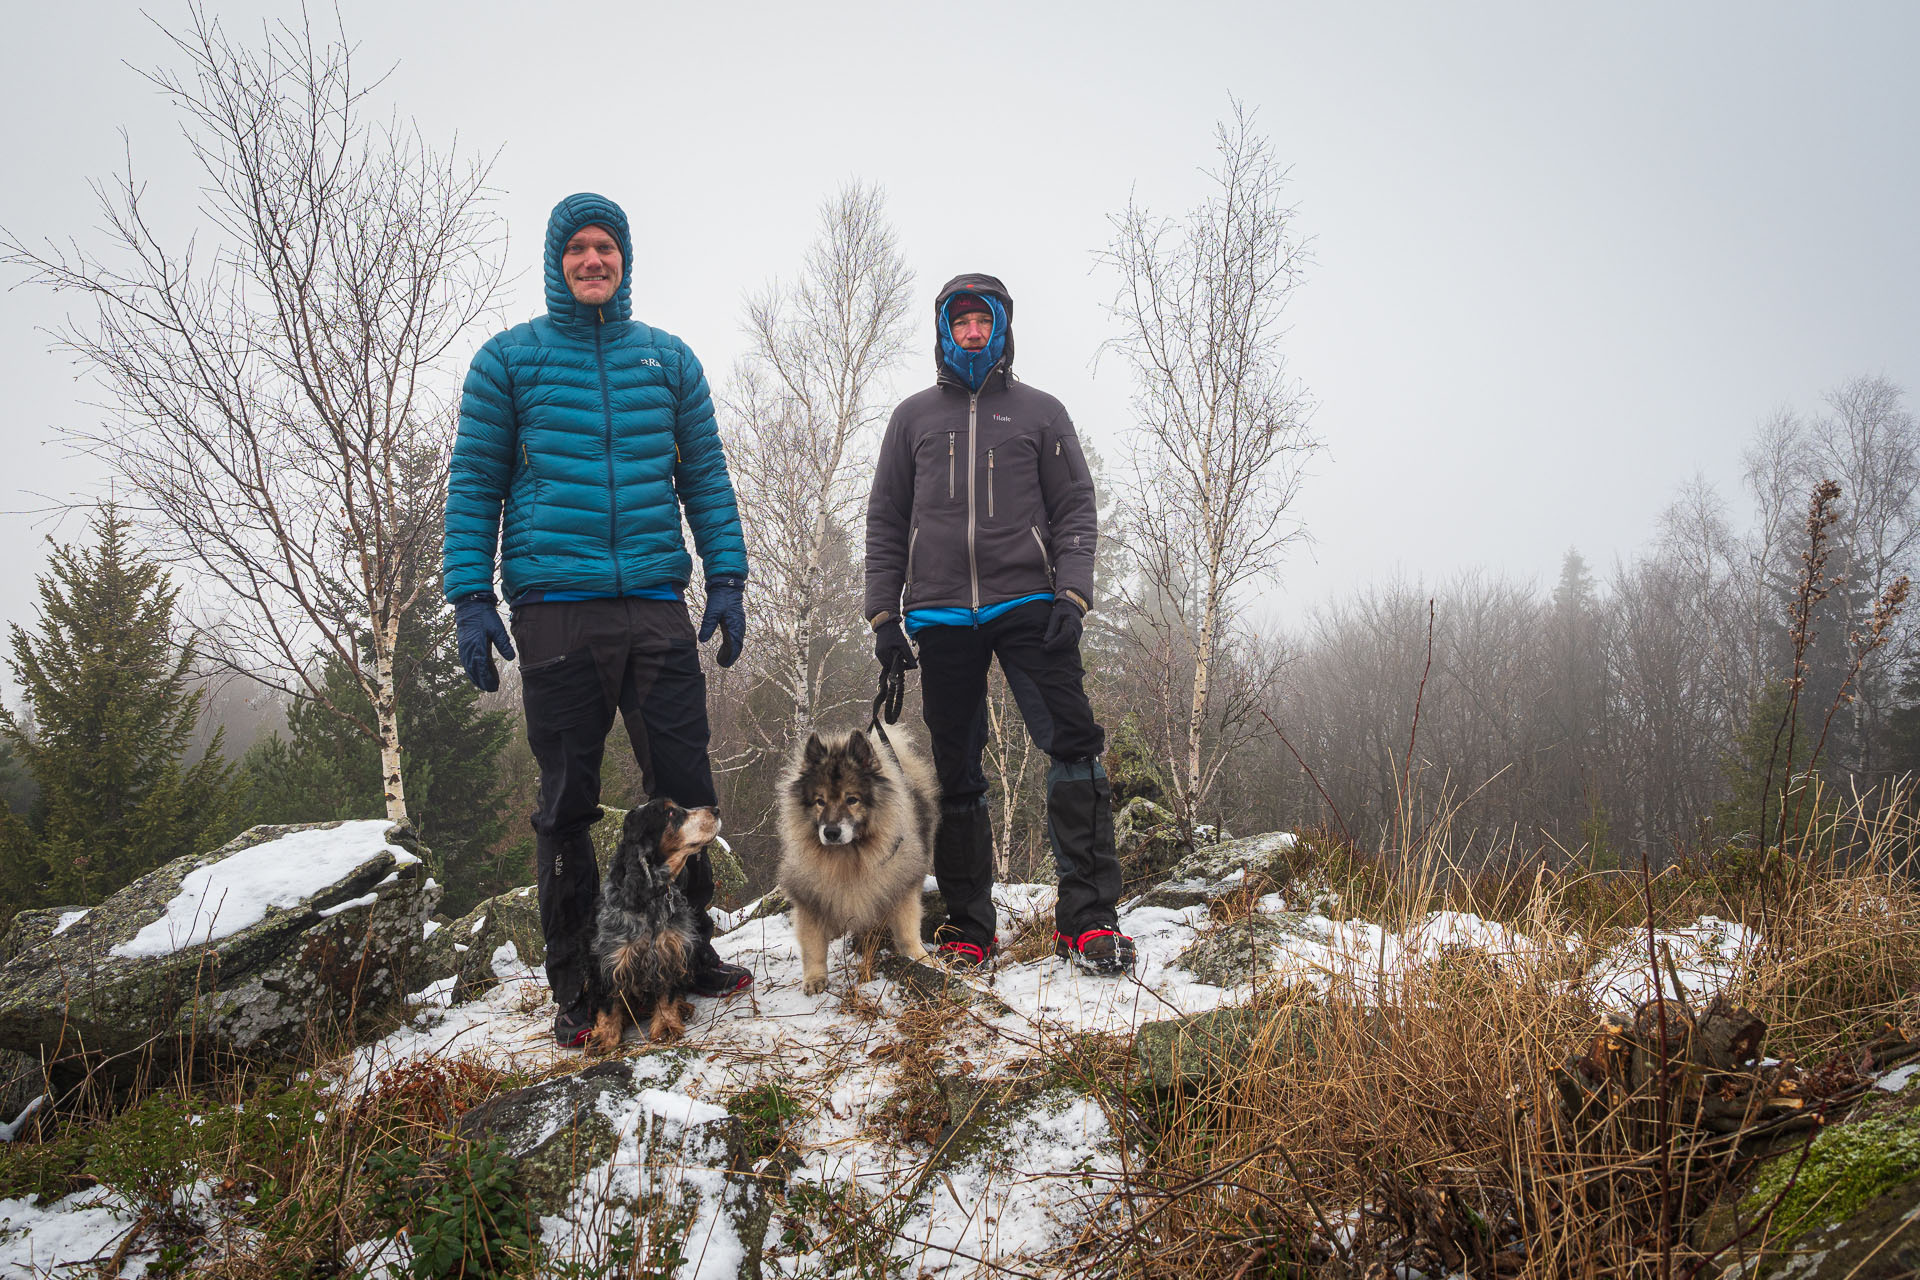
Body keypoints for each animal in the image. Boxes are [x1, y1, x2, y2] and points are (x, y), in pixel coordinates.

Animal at [583, 805, 721, 1059]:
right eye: (671, 814)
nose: (715, 809)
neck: (652, 897)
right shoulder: (607, 962)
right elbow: (608, 1007)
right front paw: (604, 1038)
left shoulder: (670, 954)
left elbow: (667, 996)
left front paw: (666, 1026)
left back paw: (683, 1007)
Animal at [771, 729, 936, 990]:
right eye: (820, 801)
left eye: (852, 799)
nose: (831, 832)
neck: (849, 857)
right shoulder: (809, 900)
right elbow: (813, 946)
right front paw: (815, 979)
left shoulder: (903, 888)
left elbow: (908, 931)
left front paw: (920, 958)